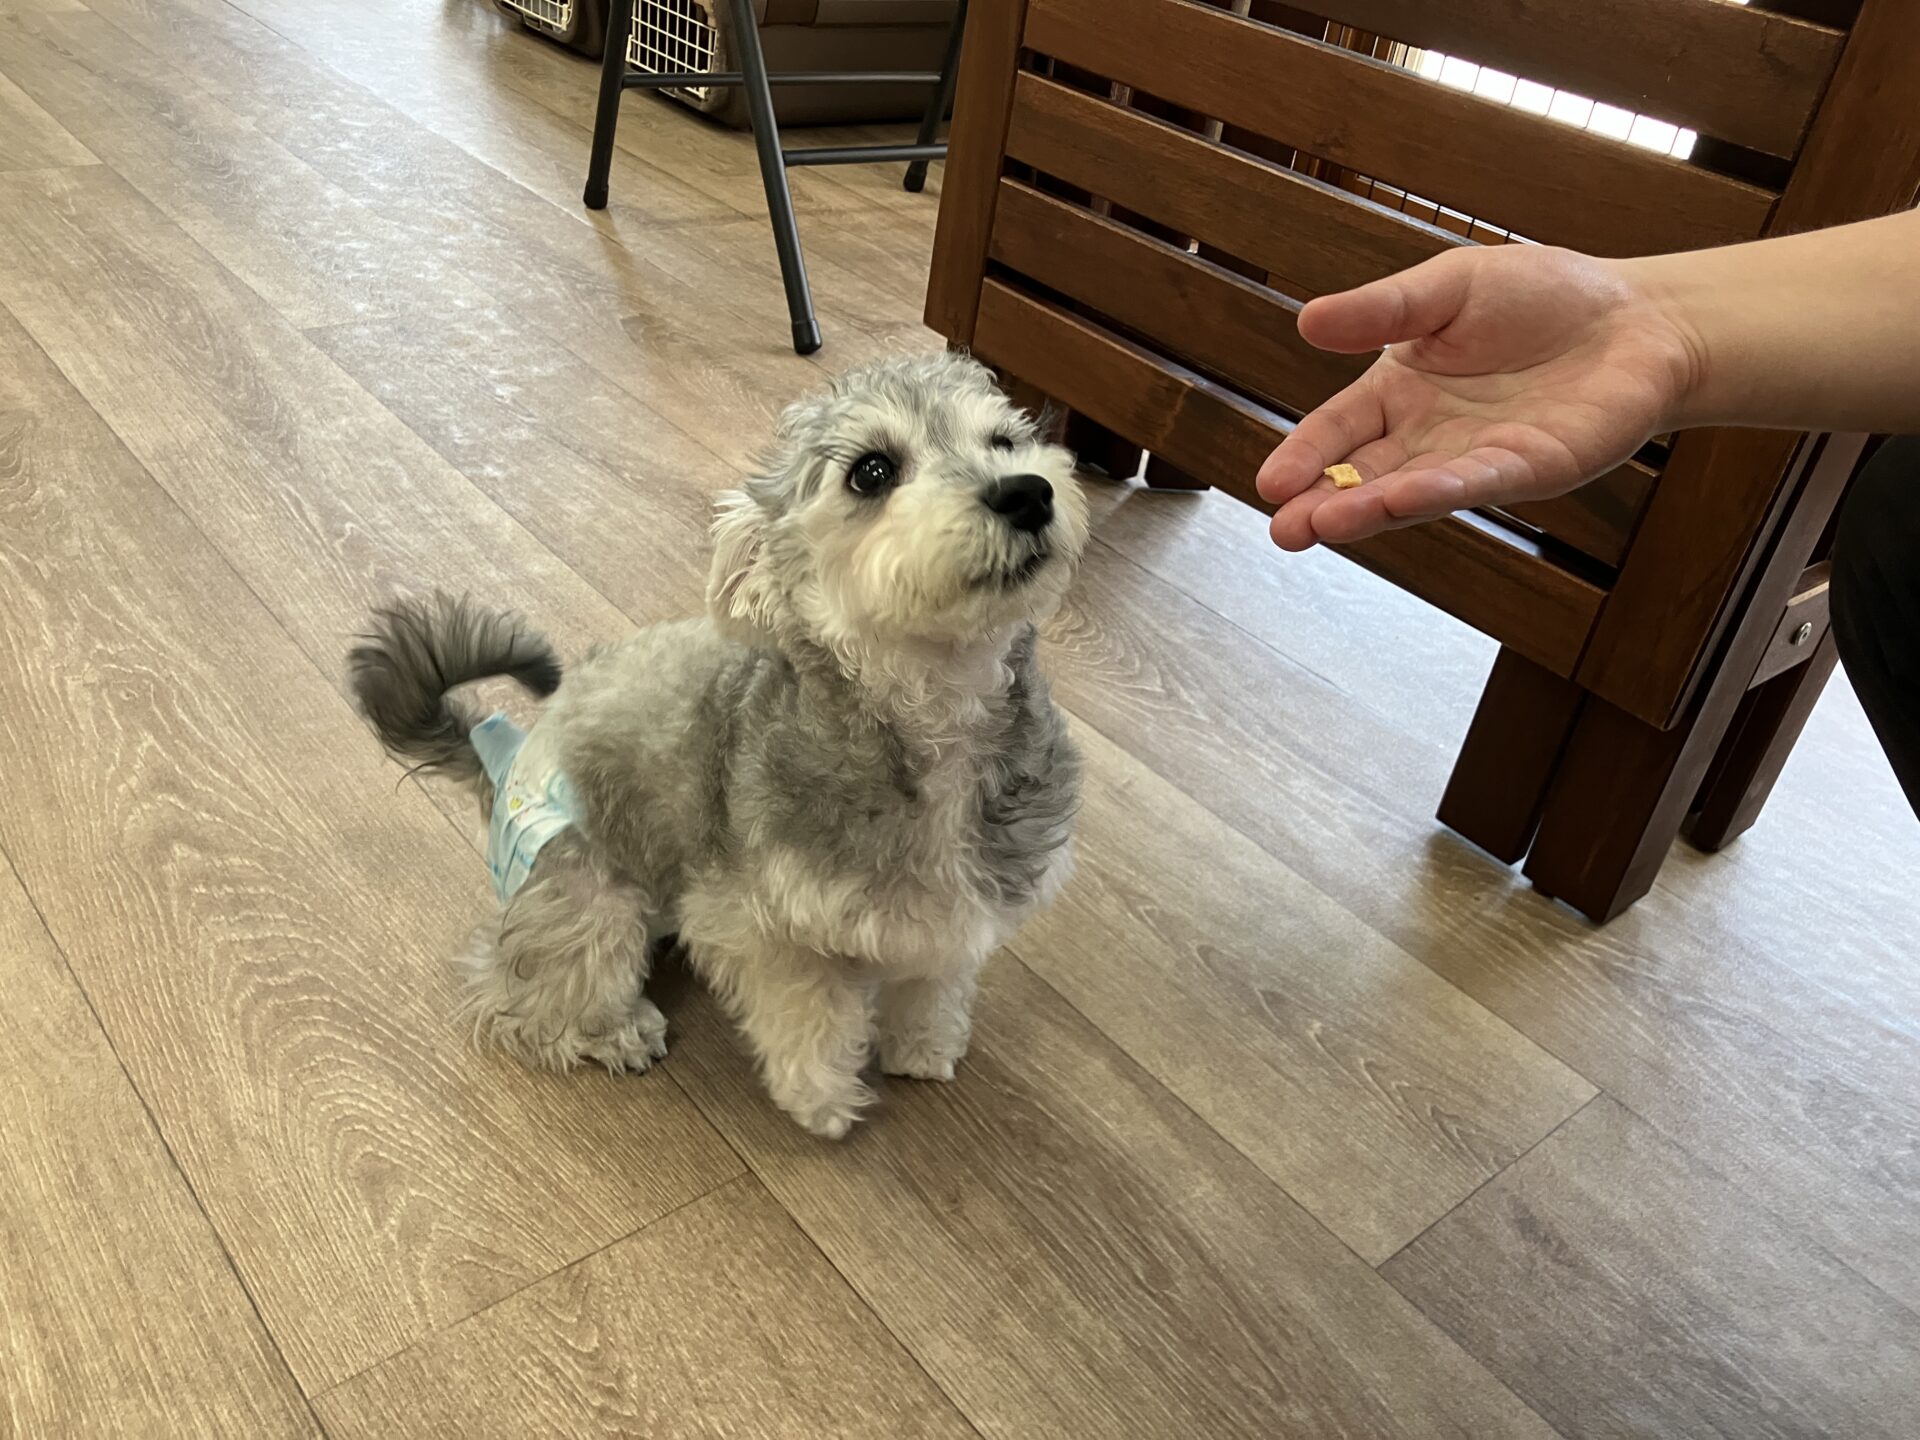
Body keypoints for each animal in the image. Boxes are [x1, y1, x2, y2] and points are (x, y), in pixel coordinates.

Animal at [349, 353, 1088, 1137]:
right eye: (872, 471)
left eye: (1005, 441)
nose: (1027, 492)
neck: (939, 717)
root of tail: (506, 757)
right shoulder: (756, 928)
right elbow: (808, 1019)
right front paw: (823, 1101)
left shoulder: (958, 913)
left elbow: (932, 984)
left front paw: (922, 1047)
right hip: (592, 902)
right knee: (518, 996)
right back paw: (615, 1031)